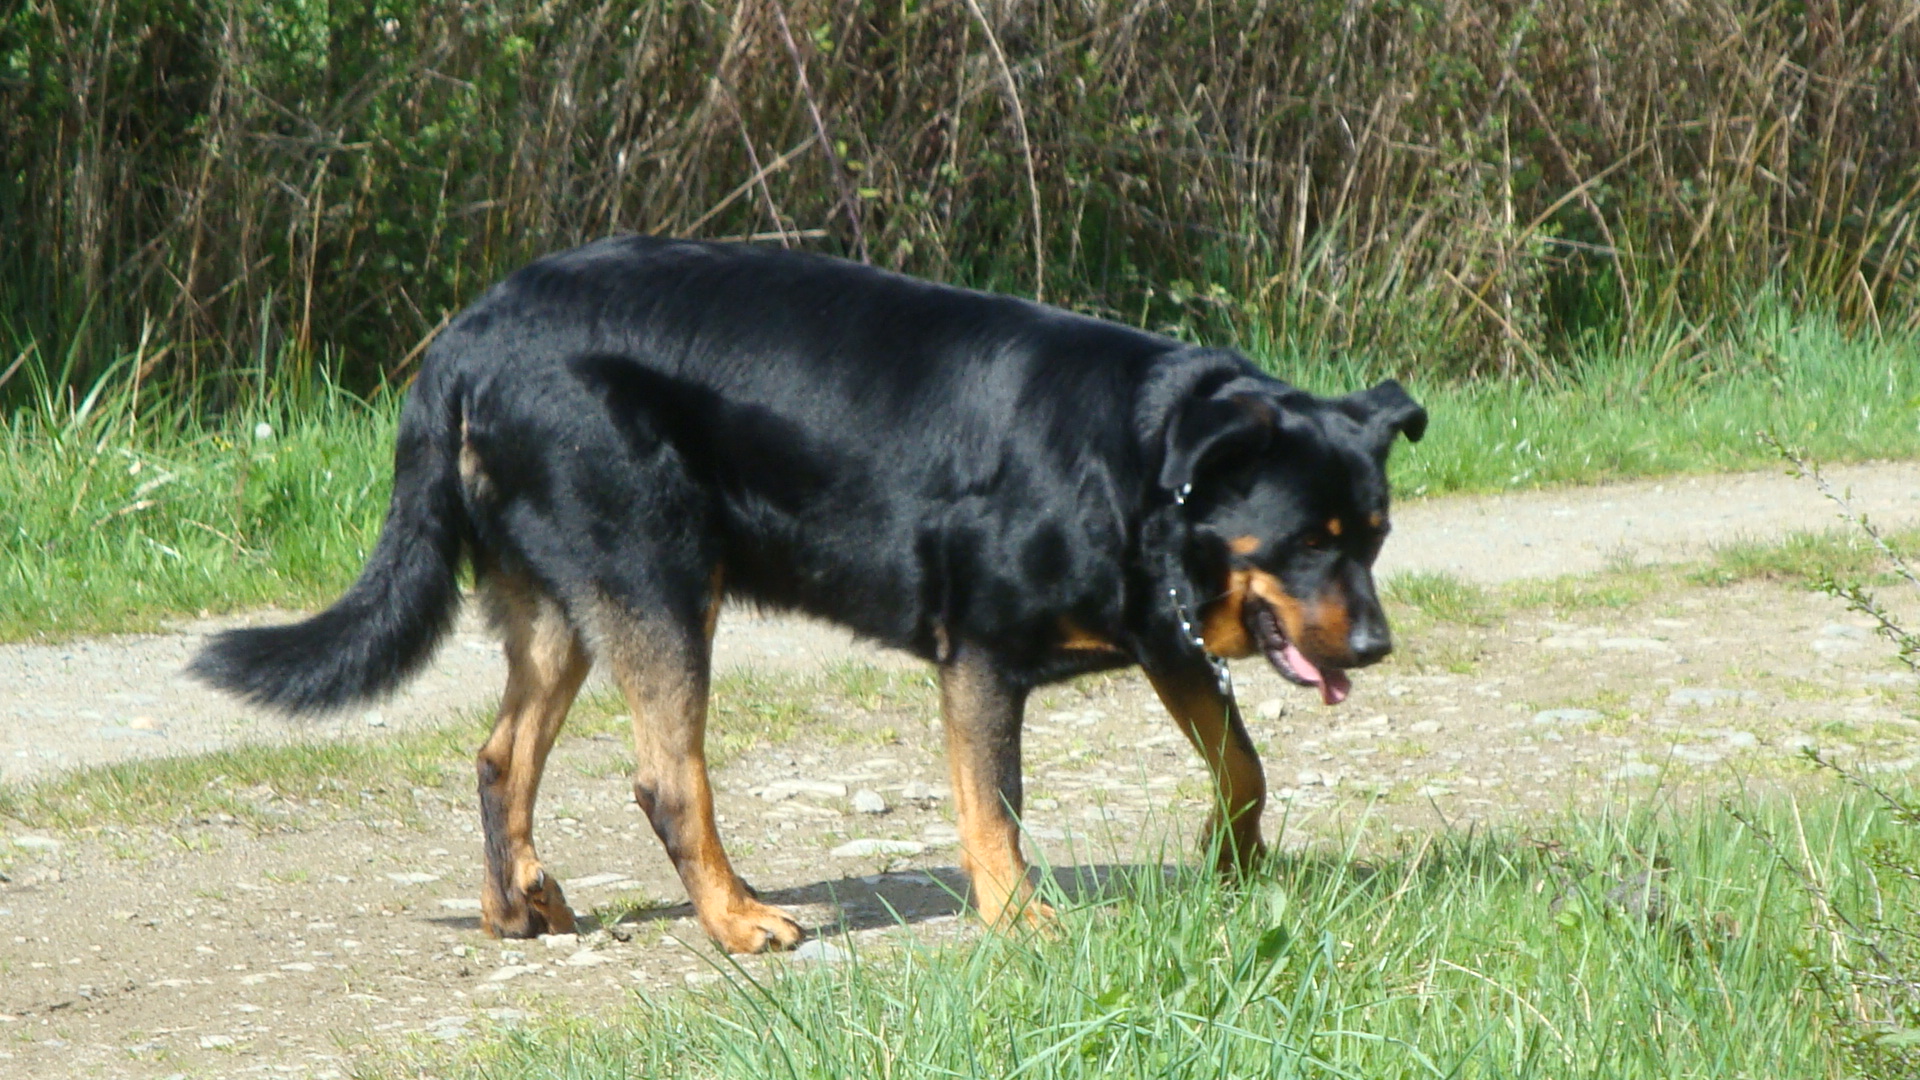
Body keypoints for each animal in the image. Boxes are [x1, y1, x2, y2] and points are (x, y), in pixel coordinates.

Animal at [194, 237, 1428, 949]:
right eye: (1308, 541)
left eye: (1372, 537)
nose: (1374, 647)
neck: (1138, 465)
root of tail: (466, 337)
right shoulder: (983, 660)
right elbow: (994, 809)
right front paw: (1020, 918)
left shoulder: (1170, 641)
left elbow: (1243, 765)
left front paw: (1234, 866)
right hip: (659, 577)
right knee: (666, 778)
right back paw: (737, 920)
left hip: (558, 605)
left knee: (503, 757)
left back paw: (517, 905)